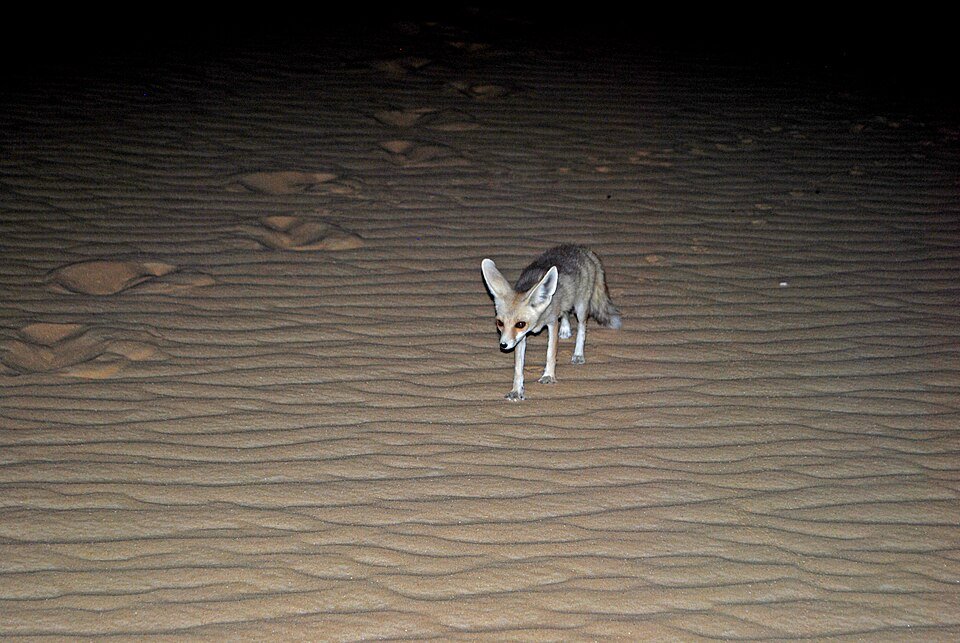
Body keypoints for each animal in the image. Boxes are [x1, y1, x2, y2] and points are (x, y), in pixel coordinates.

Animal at [481, 244, 622, 401]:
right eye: (499, 323)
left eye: (520, 324)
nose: (503, 345)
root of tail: (581, 249)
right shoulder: (520, 338)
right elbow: (518, 367)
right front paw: (516, 390)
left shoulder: (552, 323)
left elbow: (551, 353)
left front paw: (548, 375)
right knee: (565, 312)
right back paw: (565, 330)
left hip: (581, 307)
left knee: (582, 328)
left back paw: (578, 354)